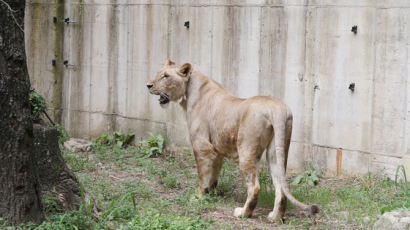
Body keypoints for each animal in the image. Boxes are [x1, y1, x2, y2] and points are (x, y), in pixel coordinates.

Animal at [146, 60, 318, 222]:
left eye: (166, 76)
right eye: (159, 73)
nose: (148, 85)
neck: (188, 93)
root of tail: (277, 109)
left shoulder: (201, 146)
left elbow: (202, 175)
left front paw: (198, 197)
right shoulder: (216, 150)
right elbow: (213, 174)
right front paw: (211, 193)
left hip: (246, 149)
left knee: (254, 186)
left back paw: (243, 213)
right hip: (277, 151)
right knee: (281, 186)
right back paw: (275, 217)